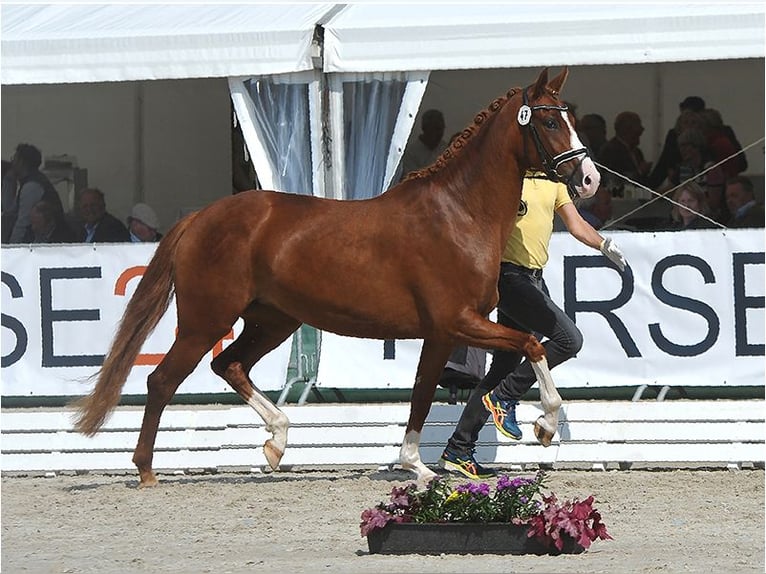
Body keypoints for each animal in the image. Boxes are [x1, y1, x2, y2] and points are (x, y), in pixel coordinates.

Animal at [73, 68, 600, 490]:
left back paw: (276, 443)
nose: (590, 178)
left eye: (569, 117)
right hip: (205, 322)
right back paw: (147, 470)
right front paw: (540, 427)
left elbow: (454, 378)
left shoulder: (456, 329)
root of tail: (201, 217)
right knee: (162, 379)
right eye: (549, 121)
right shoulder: (451, 325)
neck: (457, 213)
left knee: (229, 365)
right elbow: (513, 353)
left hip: (273, 321)